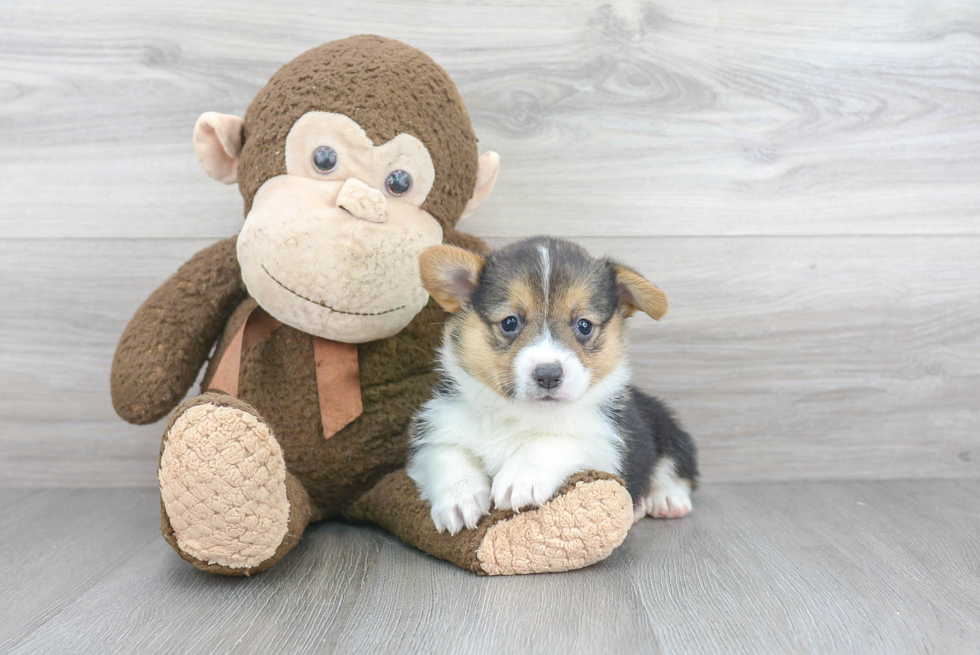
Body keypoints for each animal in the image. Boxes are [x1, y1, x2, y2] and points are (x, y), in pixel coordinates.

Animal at [406, 238, 696, 536]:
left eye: (584, 325)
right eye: (510, 322)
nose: (548, 375)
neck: (520, 414)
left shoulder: (603, 444)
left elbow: (554, 441)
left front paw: (522, 476)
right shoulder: (434, 431)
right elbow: (448, 456)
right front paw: (459, 498)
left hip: (666, 427)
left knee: (675, 468)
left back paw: (665, 500)